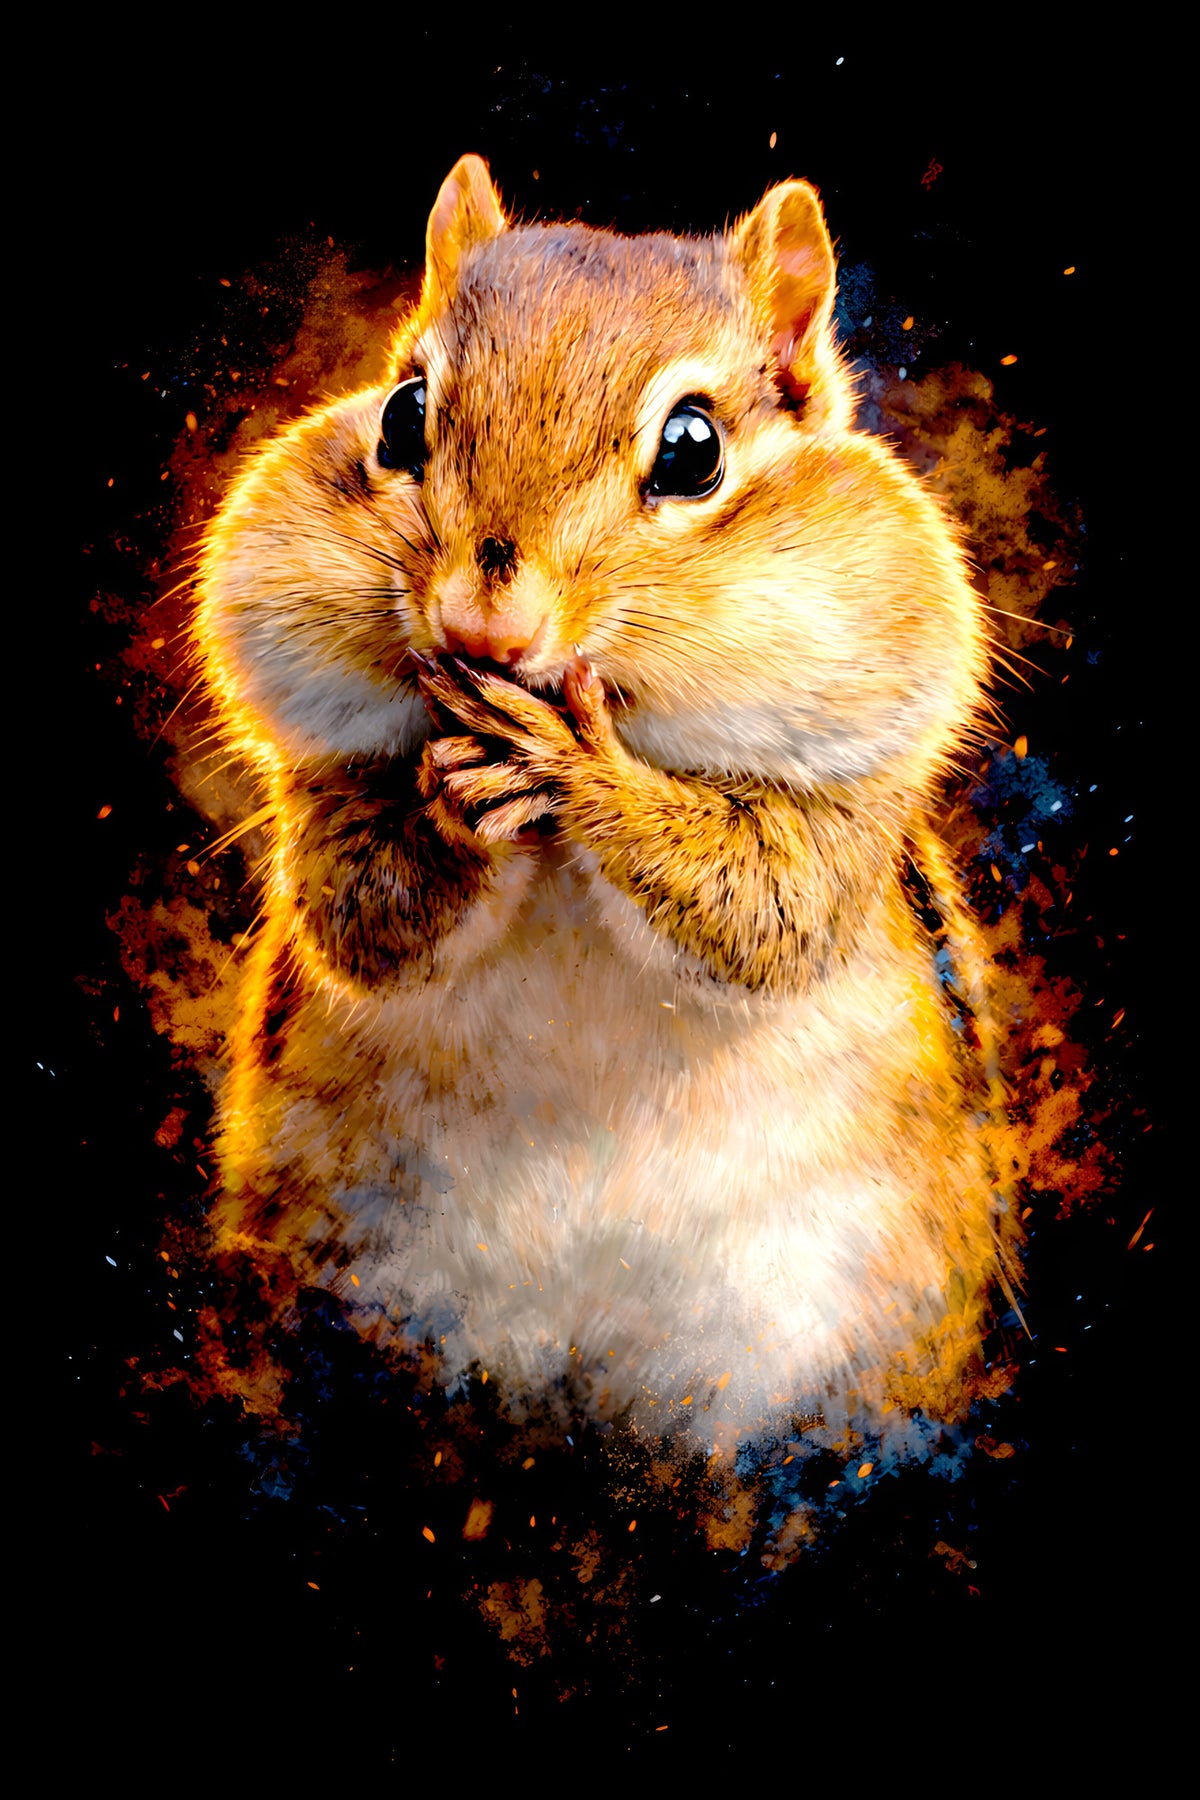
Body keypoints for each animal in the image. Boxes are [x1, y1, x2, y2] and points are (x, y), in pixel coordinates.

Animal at [194, 154, 1015, 1437]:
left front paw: (580, 767)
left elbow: (759, 910)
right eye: (402, 412)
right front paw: (455, 804)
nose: (484, 630)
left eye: (692, 451)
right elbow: (365, 911)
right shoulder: (327, 787)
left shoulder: (839, 802)